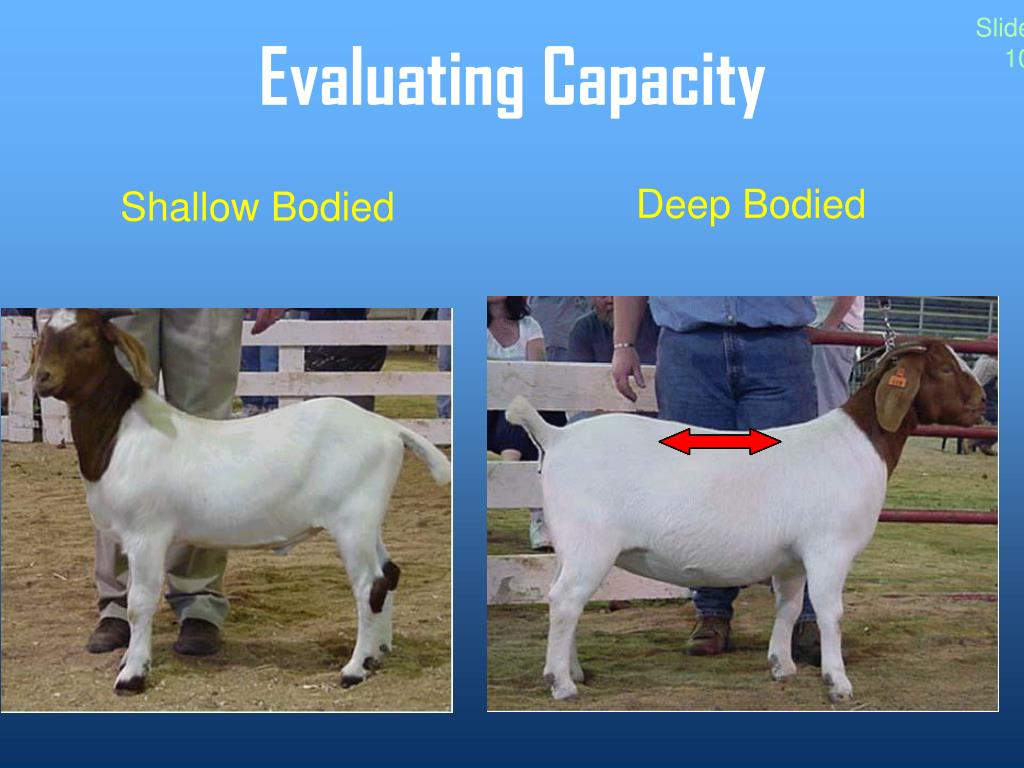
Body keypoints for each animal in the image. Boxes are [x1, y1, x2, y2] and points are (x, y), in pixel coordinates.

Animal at [28, 308, 451, 694]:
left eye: (86, 342)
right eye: (43, 337)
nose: (42, 378)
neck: (123, 431)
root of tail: (390, 429)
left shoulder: (147, 534)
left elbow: (139, 602)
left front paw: (132, 674)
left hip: (353, 520)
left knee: (369, 585)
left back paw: (354, 669)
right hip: (367, 520)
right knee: (390, 572)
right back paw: (380, 651)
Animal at [506, 340, 986, 702]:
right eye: (945, 369)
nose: (983, 401)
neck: (858, 444)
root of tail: (556, 436)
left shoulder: (792, 559)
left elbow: (789, 607)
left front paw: (782, 665)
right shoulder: (829, 549)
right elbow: (830, 612)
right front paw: (838, 683)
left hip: (568, 544)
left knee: (562, 599)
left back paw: (573, 671)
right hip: (591, 542)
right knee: (566, 601)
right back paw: (561, 684)